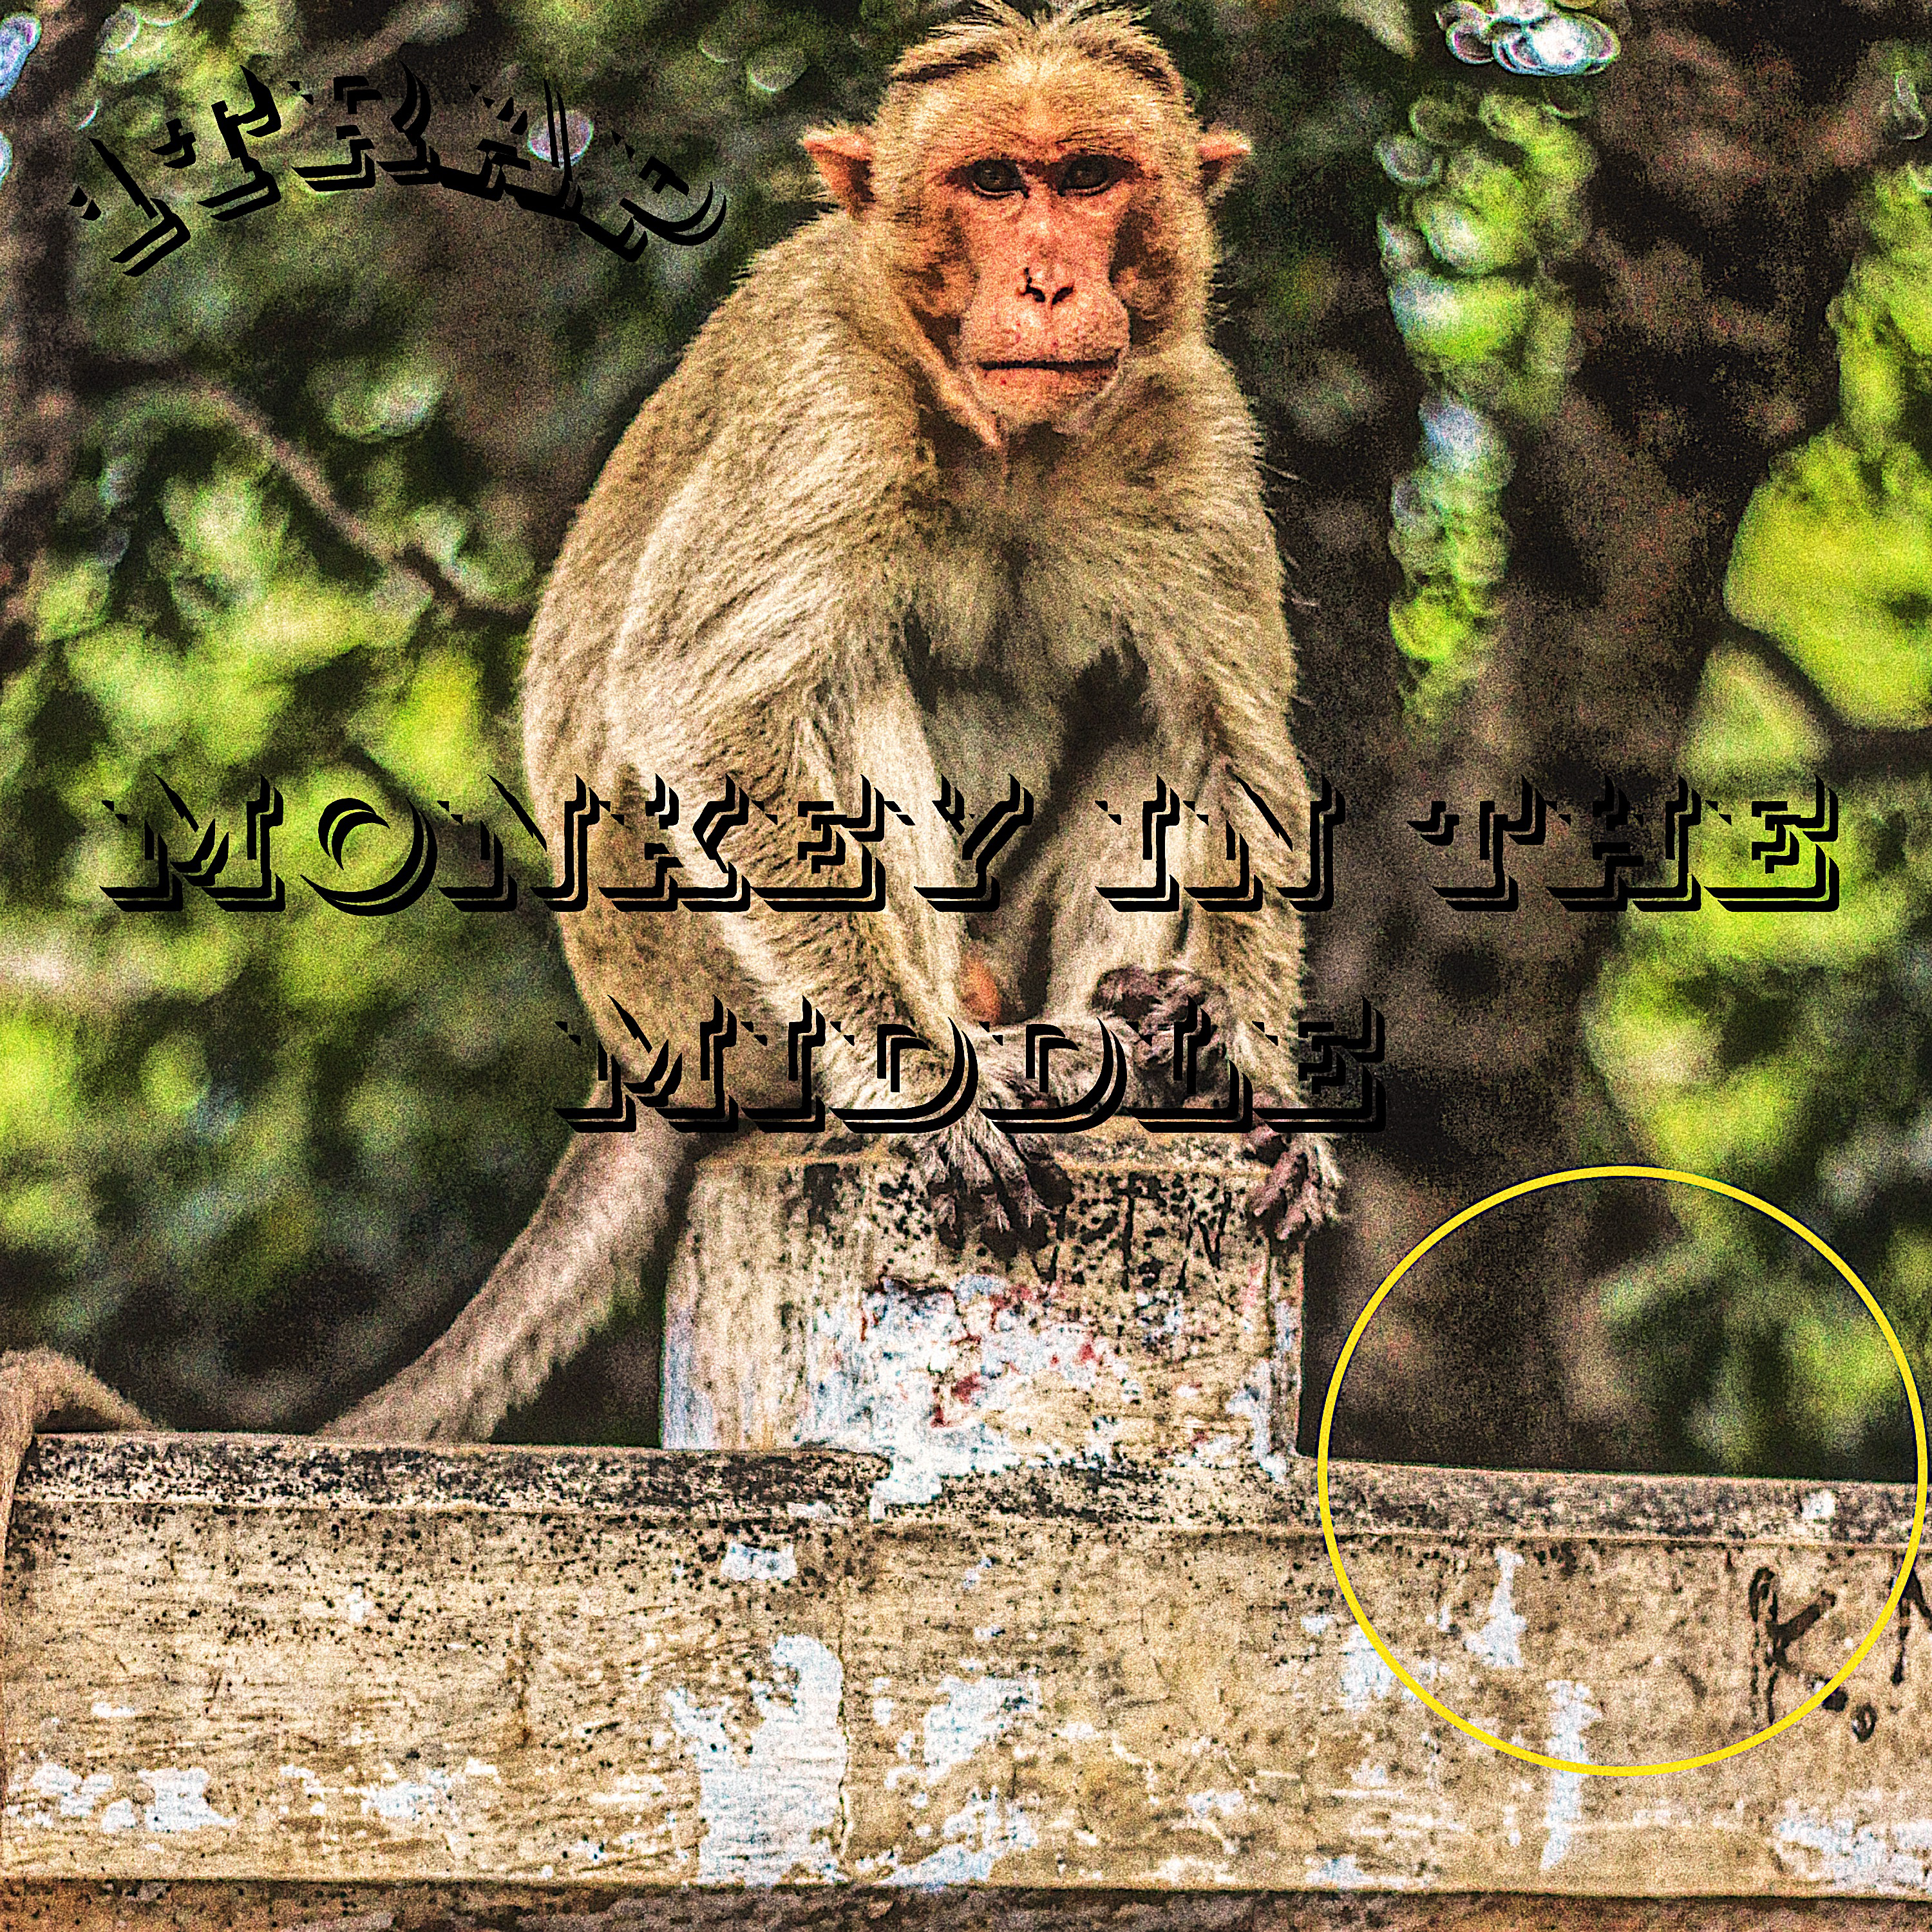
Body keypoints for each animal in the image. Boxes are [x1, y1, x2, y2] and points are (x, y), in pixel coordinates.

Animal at [0, 3, 1339, 1469]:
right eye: (993, 184)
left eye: (1091, 177)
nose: (1047, 282)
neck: (1007, 444)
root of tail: (634, 1050)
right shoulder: (827, 401)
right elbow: (709, 711)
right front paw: (929, 1087)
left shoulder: (1190, 418)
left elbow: (1229, 745)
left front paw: (1261, 1075)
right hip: (719, 1005)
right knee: (829, 680)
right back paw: (1003, 1058)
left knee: (1150, 722)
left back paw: (1141, 1039)